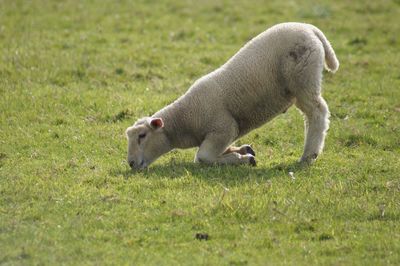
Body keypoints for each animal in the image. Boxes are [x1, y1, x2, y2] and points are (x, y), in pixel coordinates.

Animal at [125, 22, 338, 168]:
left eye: (142, 136)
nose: (131, 163)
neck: (185, 119)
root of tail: (310, 29)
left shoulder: (223, 128)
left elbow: (202, 158)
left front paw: (243, 159)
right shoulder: (226, 132)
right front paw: (243, 151)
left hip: (303, 79)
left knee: (317, 112)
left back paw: (308, 156)